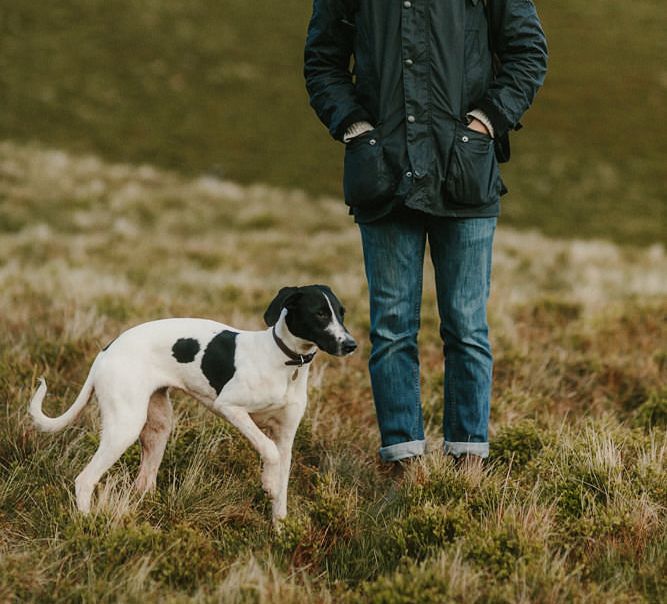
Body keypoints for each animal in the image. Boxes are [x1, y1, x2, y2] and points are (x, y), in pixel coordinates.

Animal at [28, 284, 358, 524]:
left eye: (341, 313)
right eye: (319, 313)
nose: (351, 345)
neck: (284, 362)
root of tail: (106, 351)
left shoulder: (287, 436)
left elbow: (282, 488)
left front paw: (280, 530)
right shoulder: (230, 407)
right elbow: (268, 449)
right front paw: (267, 482)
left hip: (158, 426)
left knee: (143, 482)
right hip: (124, 427)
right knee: (84, 480)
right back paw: (88, 525)